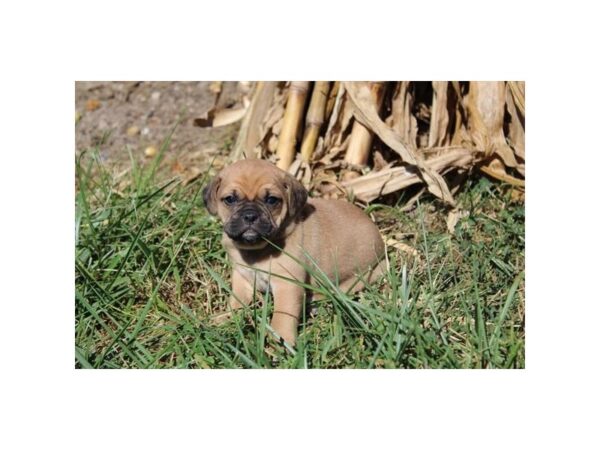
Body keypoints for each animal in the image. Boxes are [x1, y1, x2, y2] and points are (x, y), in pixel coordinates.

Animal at [203, 160, 384, 346]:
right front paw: (225, 319)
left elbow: (283, 315)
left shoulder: (287, 284)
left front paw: (281, 340)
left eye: (271, 200)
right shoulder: (242, 276)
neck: (257, 250)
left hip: (365, 275)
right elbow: (236, 301)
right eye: (230, 199)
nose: (250, 215)